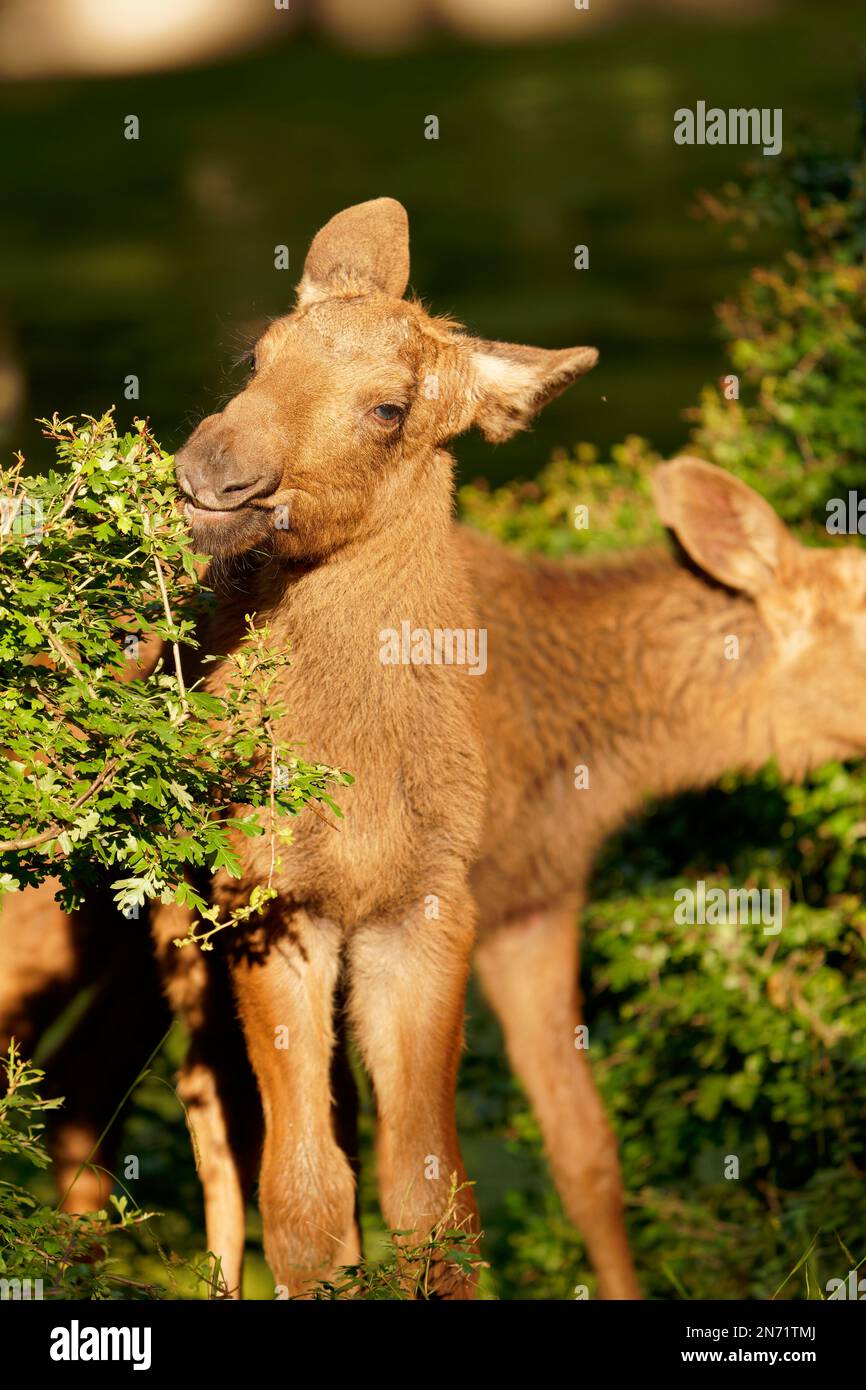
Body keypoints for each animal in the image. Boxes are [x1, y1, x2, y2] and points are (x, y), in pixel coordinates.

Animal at [3, 198, 864, 1302]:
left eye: (389, 407)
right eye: (259, 352)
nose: (212, 469)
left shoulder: (448, 906)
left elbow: (452, 1192)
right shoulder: (278, 901)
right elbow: (308, 1201)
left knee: (82, 1099)